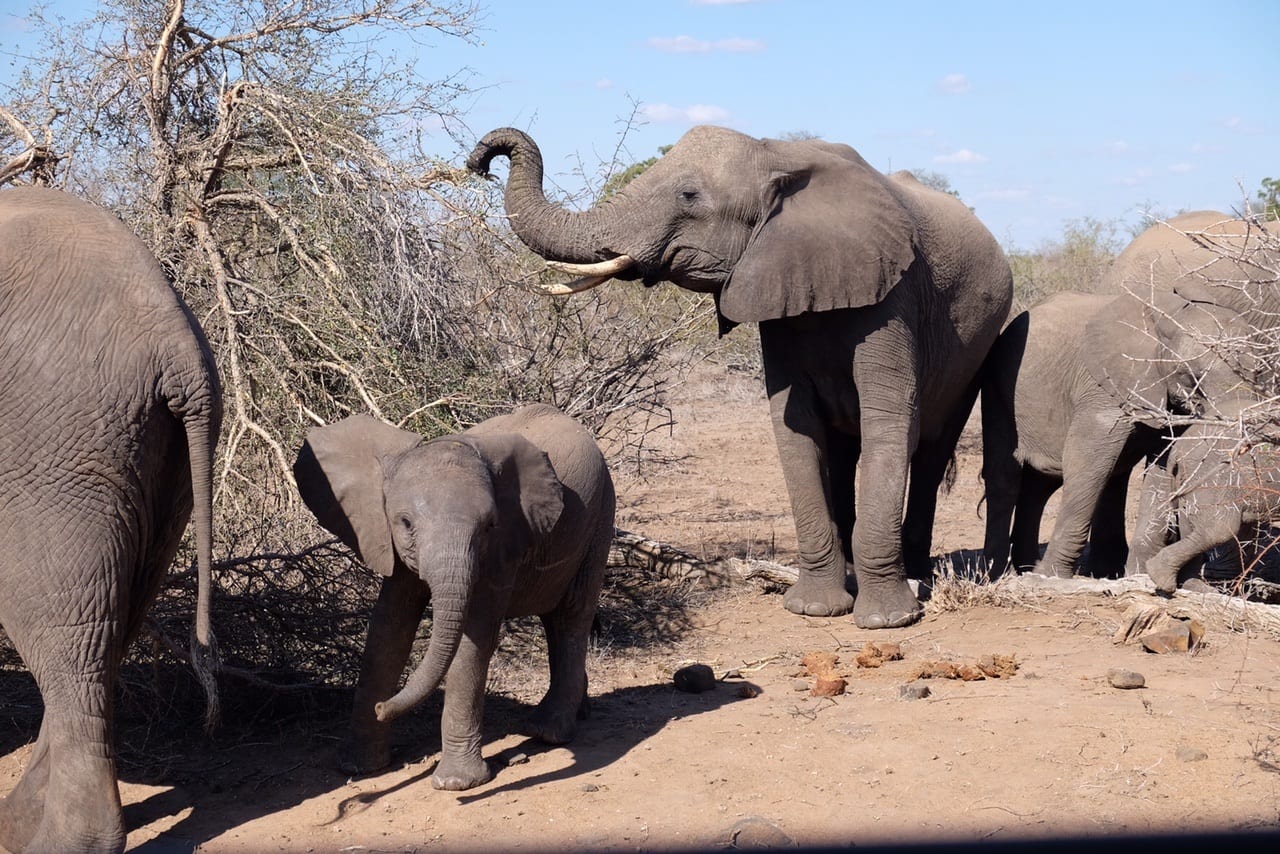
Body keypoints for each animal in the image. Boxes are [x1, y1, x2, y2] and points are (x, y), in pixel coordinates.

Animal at [0, 186, 221, 854]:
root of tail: (176, 341)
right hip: (160, 465)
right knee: (113, 620)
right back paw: (20, 824)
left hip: (53, 450)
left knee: (67, 631)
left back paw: (58, 841)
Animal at [294, 404, 614, 793]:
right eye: (405, 523)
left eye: (489, 525)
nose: (382, 707)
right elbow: (389, 627)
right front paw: (358, 768)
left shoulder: (500, 550)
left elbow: (473, 638)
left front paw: (456, 783)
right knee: (555, 620)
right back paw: (576, 714)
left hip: (601, 514)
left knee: (572, 615)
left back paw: (549, 732)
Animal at [465, 125, 1013, 627]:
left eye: (689, 196)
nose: (481, 159)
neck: (777, 155)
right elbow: (796, 428)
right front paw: (815, 610)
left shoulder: (894, 297)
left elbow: (889, 423)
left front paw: (886, 621)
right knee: (843, 452)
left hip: (978, 344)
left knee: (931, 448)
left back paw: (916, 573)